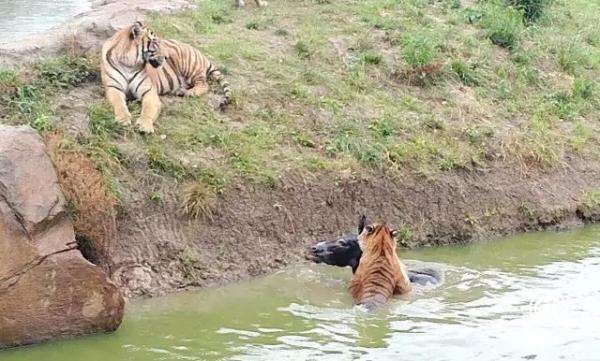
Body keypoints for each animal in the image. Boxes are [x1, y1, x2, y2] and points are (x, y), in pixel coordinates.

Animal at [99, 21, 231, 134]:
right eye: (155, 43)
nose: (167, 57)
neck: (129, 63)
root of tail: (200, 53)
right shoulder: (113, 88)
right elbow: (119, 104)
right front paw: (123, 119)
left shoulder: (149, 91)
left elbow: (148, 109)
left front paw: (145, 125)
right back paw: (181, 91)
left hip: (189, 67)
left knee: (204, 84)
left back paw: (190, 93)